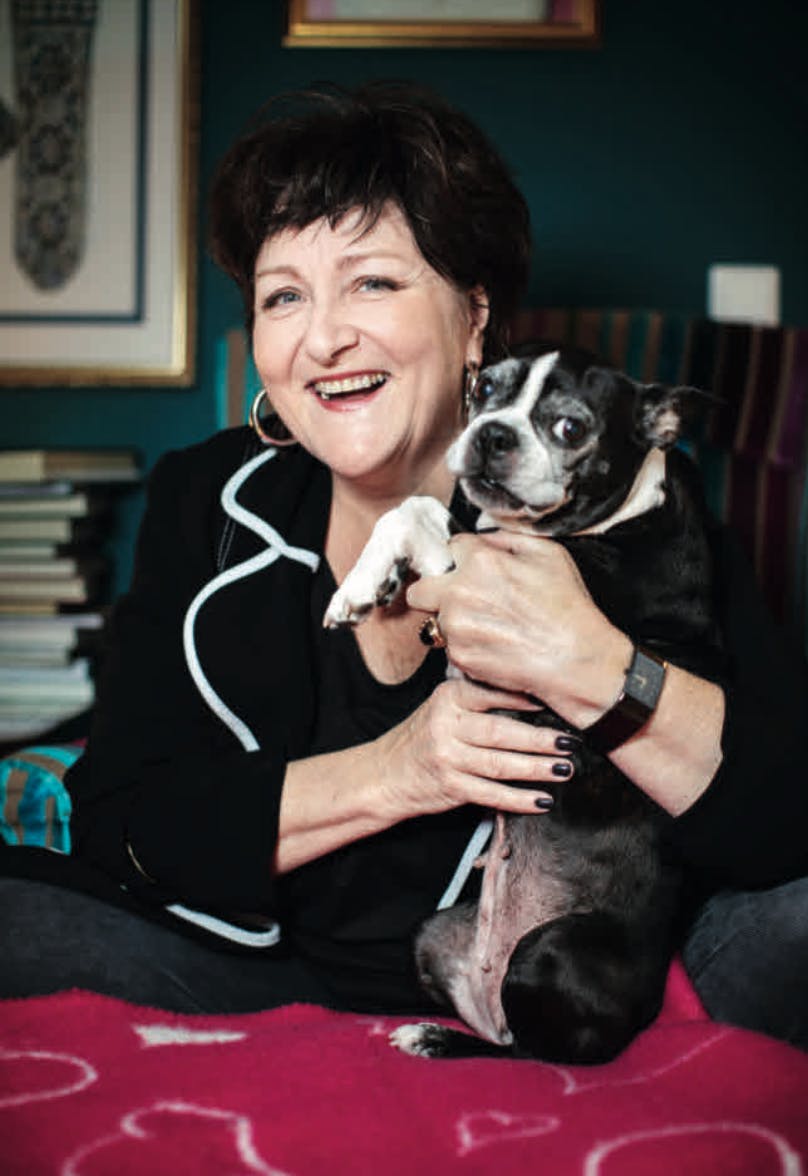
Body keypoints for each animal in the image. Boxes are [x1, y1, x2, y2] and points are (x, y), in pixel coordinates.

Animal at [324, 344, 723, 1065]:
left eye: (570, 427)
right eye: (484, 390)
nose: (492, 434)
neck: (621, 516)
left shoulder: (495, 584)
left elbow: (443, 536)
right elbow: (418, 507)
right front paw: (367, 584)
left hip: (554, 947)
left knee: (535, 1054)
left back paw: (436, 1039)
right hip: (435, 930)